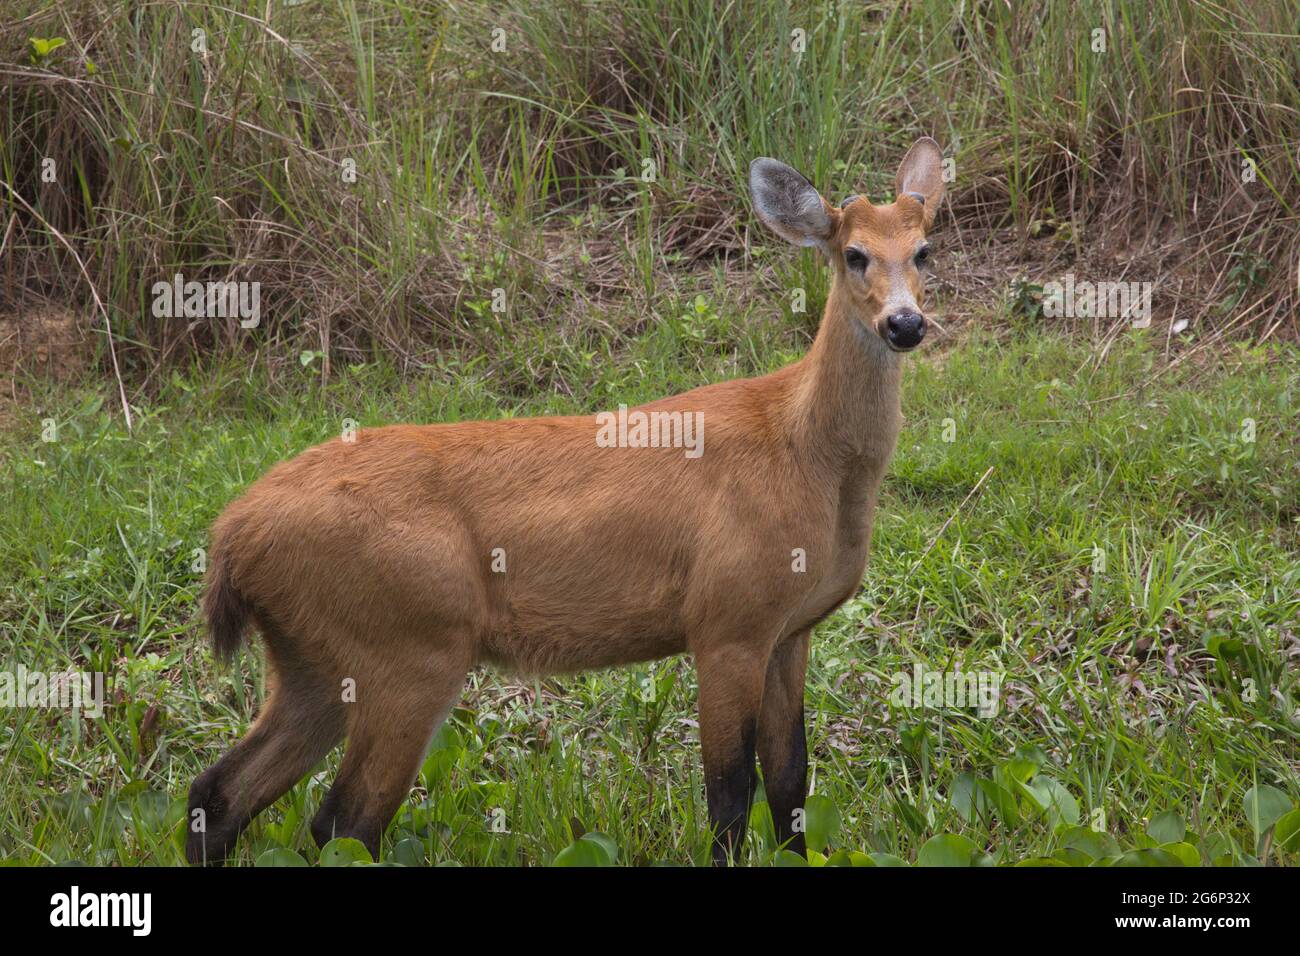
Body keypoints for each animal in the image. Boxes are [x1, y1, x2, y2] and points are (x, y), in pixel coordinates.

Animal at [188, 136, 946, 868]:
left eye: (923, 249)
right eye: (853, 254)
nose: (906, 324)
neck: (807, 455)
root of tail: (232, 535)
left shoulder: (790, 629)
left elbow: (791, 783)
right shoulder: (726, 619)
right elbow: (730, 797)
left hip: (313, 659)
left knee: (222, 792)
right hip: (410, 643)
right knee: (344, 823)